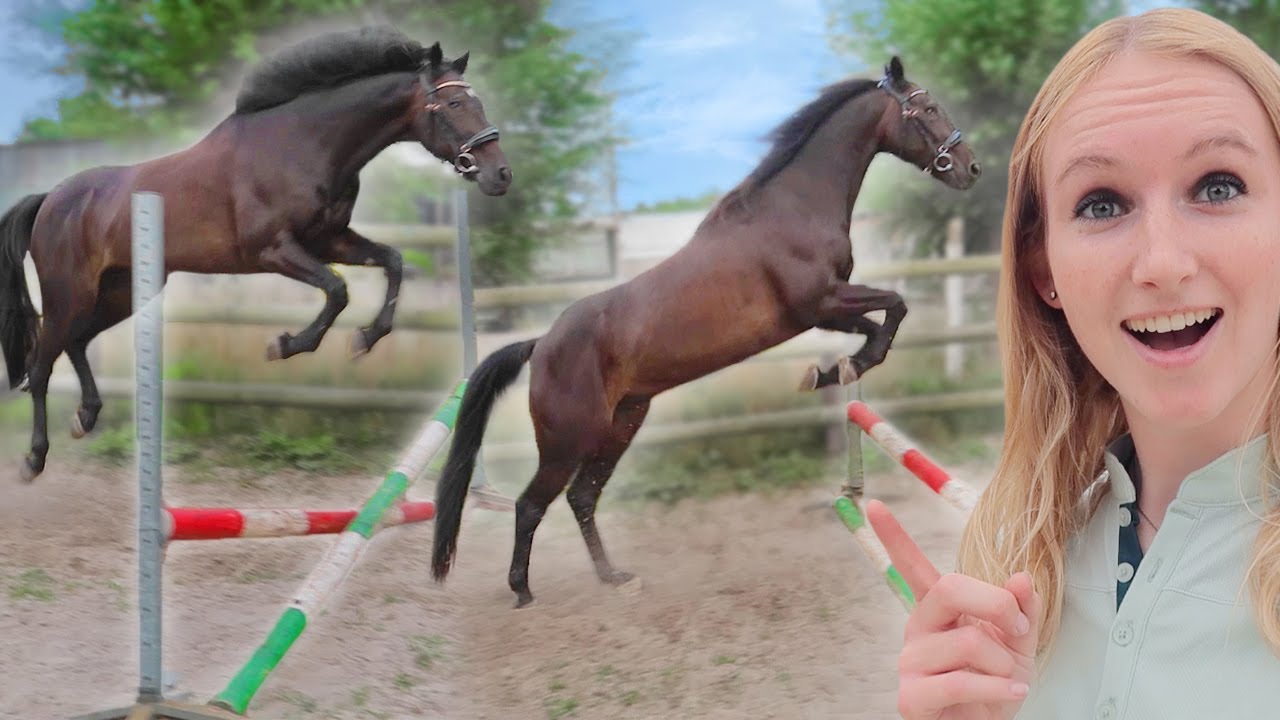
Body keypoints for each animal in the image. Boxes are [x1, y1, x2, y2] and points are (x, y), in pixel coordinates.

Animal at [0, 26, 512, 484]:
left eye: (479, 101)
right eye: (454, 104)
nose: (500, 176)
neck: (304, 144)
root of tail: (50, 199)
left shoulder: (330, 241)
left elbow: (392, 262)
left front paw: (365, 339)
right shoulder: (273, 250)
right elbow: (337, 290)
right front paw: (285, 345)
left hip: (119, 293)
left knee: (76, 343)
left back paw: (85, 417)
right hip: (71, 293)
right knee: (41, 365)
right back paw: (34, 459)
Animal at [428, 56, 981, 608]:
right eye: (928, 108)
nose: (970, 167)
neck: (794, 208)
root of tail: (541, 344)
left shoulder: (826, 310)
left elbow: (878, 325)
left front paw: (833, 371)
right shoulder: (819, 303)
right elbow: (896, 307)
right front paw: (838, 369)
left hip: (621, 425)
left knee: (583, 496)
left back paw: (614, 577)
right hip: (568, 441)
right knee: (531, 504)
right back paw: (522, 590)